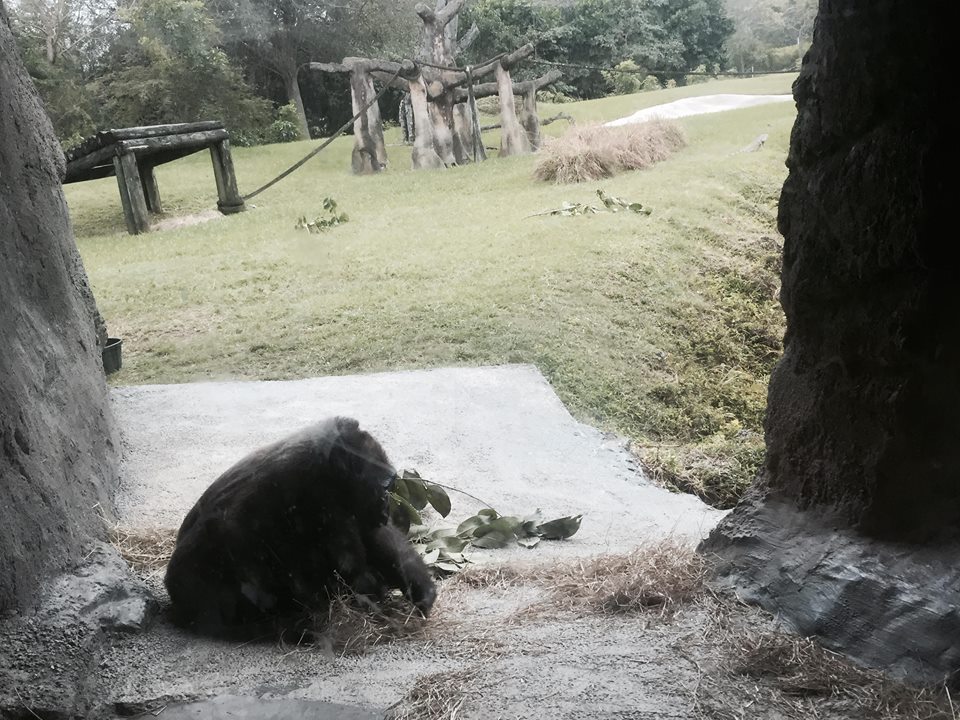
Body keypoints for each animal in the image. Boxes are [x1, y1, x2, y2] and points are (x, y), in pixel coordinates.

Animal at [163, 416, 436, 637]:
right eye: (385, 487)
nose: (385, 508)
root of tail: (176, 604)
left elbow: (378, 538)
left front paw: (421, 590)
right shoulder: (314, 493)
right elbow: (353, 570)